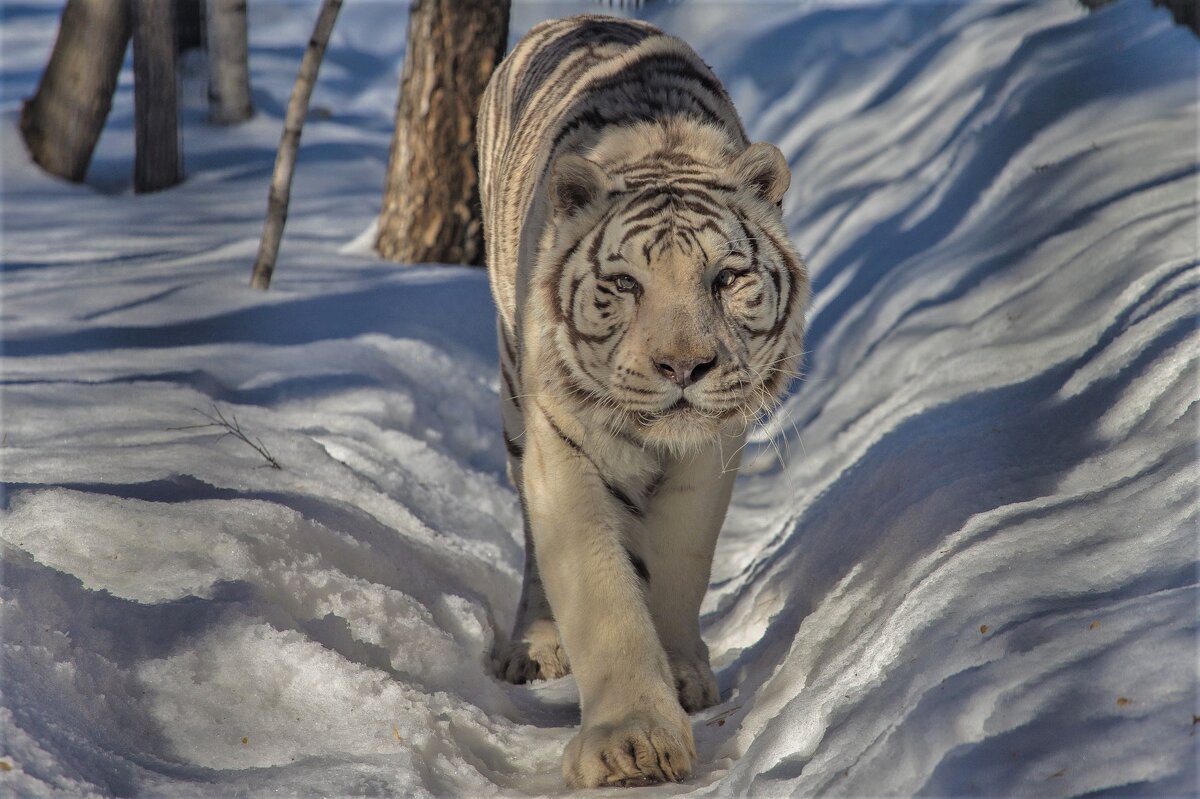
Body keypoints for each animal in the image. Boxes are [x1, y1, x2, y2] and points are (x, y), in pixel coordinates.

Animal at [475, 15, 806, 787]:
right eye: (626, 284)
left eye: (726, 279)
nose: (683, 364)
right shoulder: (560, 443)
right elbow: (601, 589)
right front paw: (631, 743)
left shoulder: (711, 449)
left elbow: (682, 562)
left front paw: (682, 676)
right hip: (511, 396)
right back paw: (533, 646)